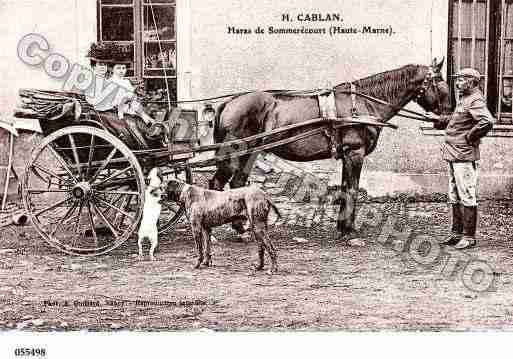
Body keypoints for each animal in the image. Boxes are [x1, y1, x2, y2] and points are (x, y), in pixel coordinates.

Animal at [207, 59, 448, 239]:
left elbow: (344, 188)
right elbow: (352, 189)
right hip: (235, 152)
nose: (445, 119)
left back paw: (241, 227)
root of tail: (230, 102)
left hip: (250, 153)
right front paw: (349, 230)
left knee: (237, 184)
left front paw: (342, 226)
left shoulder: (346, 155)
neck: (362, 105)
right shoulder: (355, 153)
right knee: (217, 184)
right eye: (440, 84)